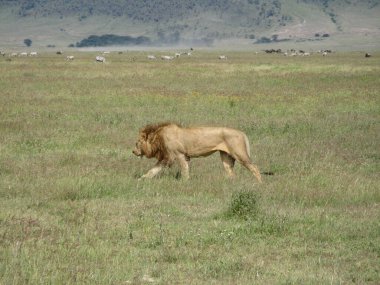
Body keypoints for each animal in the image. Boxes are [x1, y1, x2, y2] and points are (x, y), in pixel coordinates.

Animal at [133, 122, 262, 182]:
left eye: (137, 142)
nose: (133, 151)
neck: (158, 138)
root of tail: (242, 132)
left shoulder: (178, 155)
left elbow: (184, 170)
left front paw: (185, 182)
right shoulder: (167, 158)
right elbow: (152, 170)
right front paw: (140, 179)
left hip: (239, 154)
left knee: (255, 168)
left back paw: (259, 184)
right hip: (226, 157)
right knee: (231, 174)